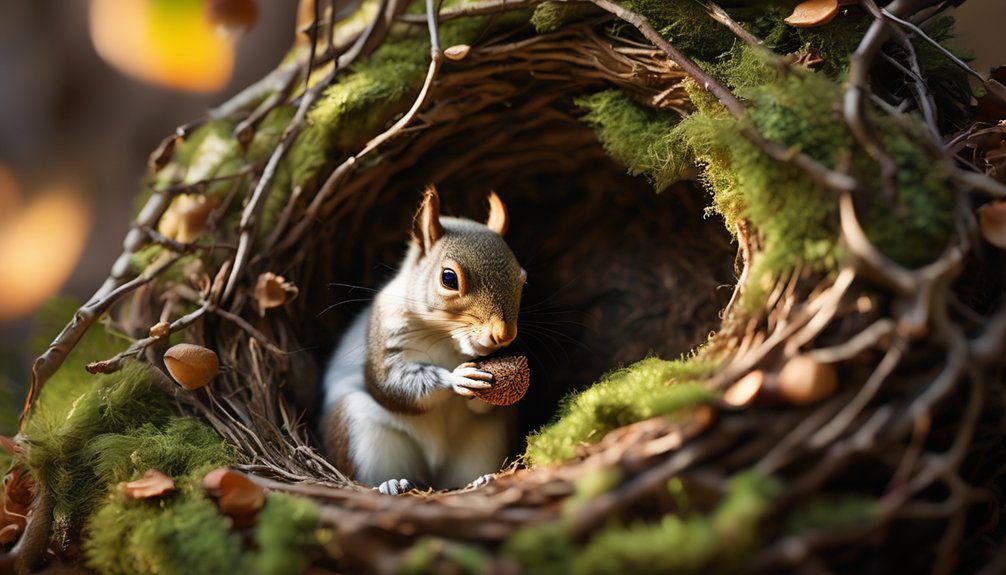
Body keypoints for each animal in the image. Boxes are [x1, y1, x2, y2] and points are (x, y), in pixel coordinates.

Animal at [321, 186, 526, 495]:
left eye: (522, 279)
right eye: (448, 278)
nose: (503, 334)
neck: (445, 338)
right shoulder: (387, 334)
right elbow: (393, 385)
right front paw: (455, 379)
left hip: (484, 441)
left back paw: (480, 479)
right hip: (363, 432)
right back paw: (391, 484)